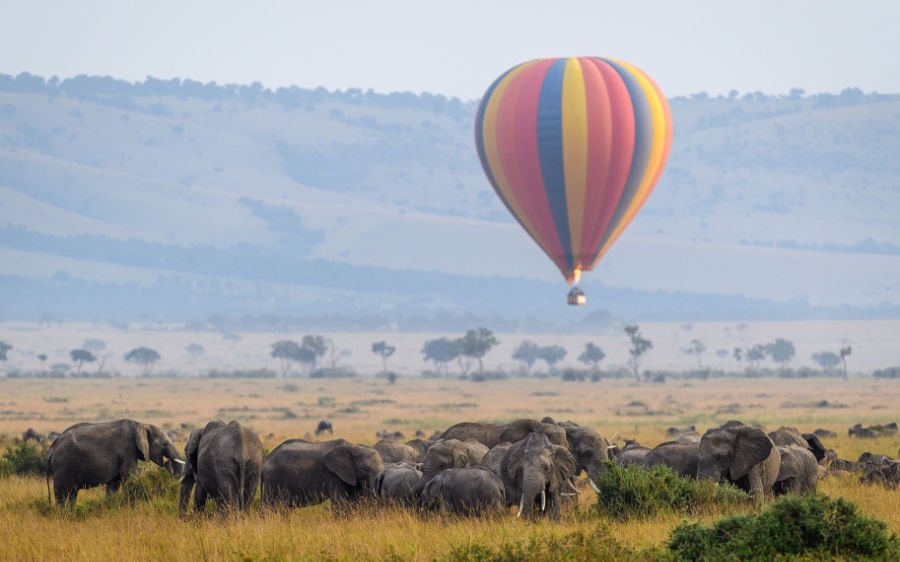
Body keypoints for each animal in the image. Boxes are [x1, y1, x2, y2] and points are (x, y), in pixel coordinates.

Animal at [46, 416, 184, 504]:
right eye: (165, 444)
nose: (167, 463)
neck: (140, 424)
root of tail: (52, 448)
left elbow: (114, 483)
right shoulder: (127, 450)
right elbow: (129, 476)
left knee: (72, 494)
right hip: (63, 465)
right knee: (63, 493)